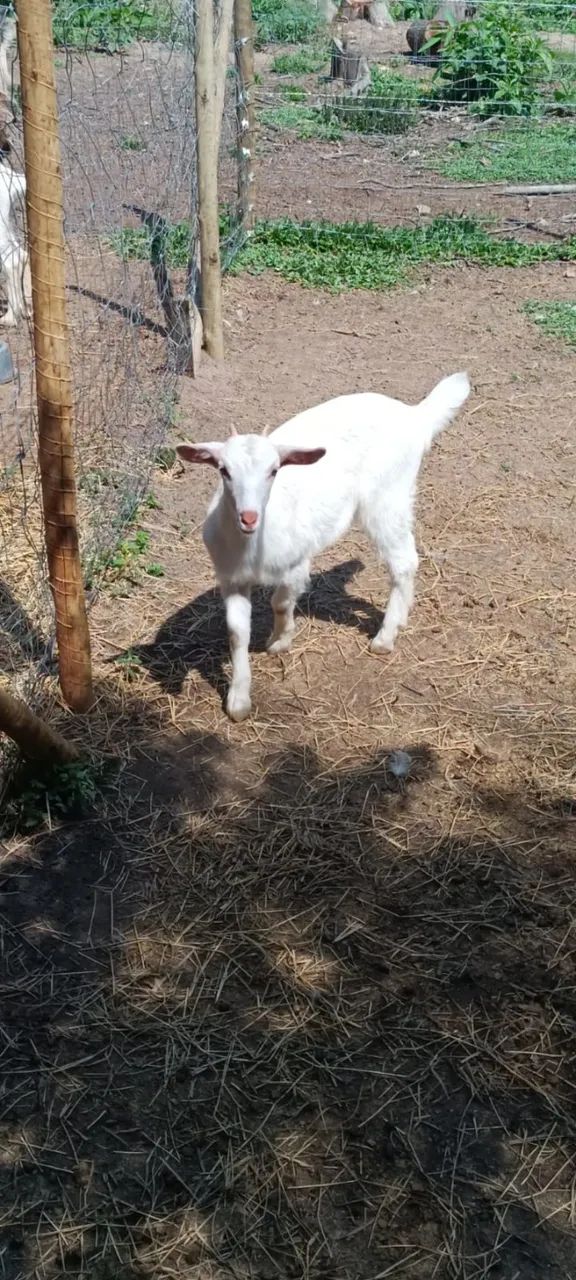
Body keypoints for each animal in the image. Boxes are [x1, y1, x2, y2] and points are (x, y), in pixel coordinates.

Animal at [177, 372, 471, 722]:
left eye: (274, 470)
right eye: (224, 471)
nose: (248, 517)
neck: (251, 545)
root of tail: (413, 415)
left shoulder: (296, 565)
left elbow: (280, 602)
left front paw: (280, 640)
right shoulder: (231, 579)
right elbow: (237, 633)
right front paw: (238, 700)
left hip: (387, 498)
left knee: (404, 560)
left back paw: (385, 637)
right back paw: (400, 620)